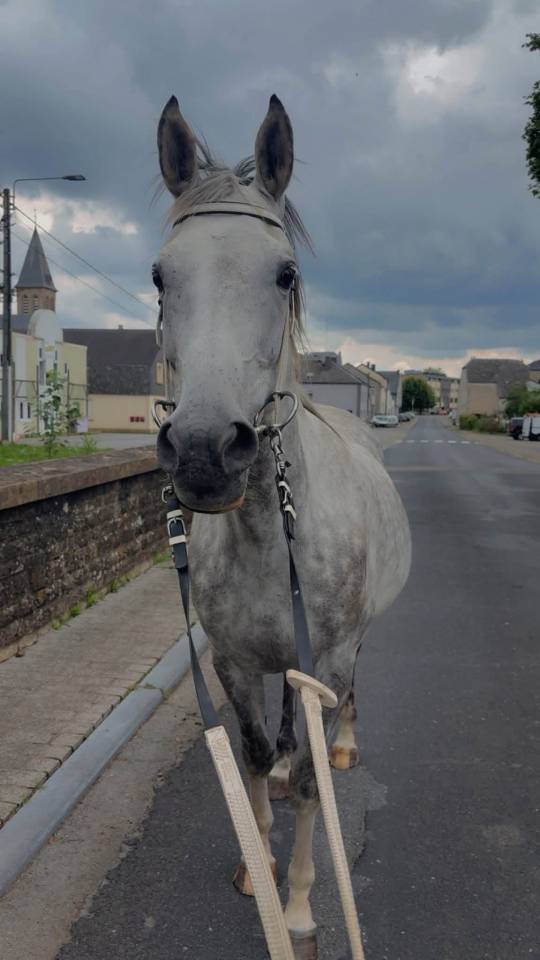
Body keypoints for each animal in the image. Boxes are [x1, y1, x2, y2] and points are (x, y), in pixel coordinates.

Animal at [154, 93, 411, 957]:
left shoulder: (321, 657)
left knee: (340, 712)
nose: (205, 450)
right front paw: (256, 870)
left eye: (285, 273)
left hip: (343, 652)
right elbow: (257, 755)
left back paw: (345, 743)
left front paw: (296, 904)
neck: (270, 530)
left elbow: (303, 781)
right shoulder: (233, 661)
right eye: (161, 275)